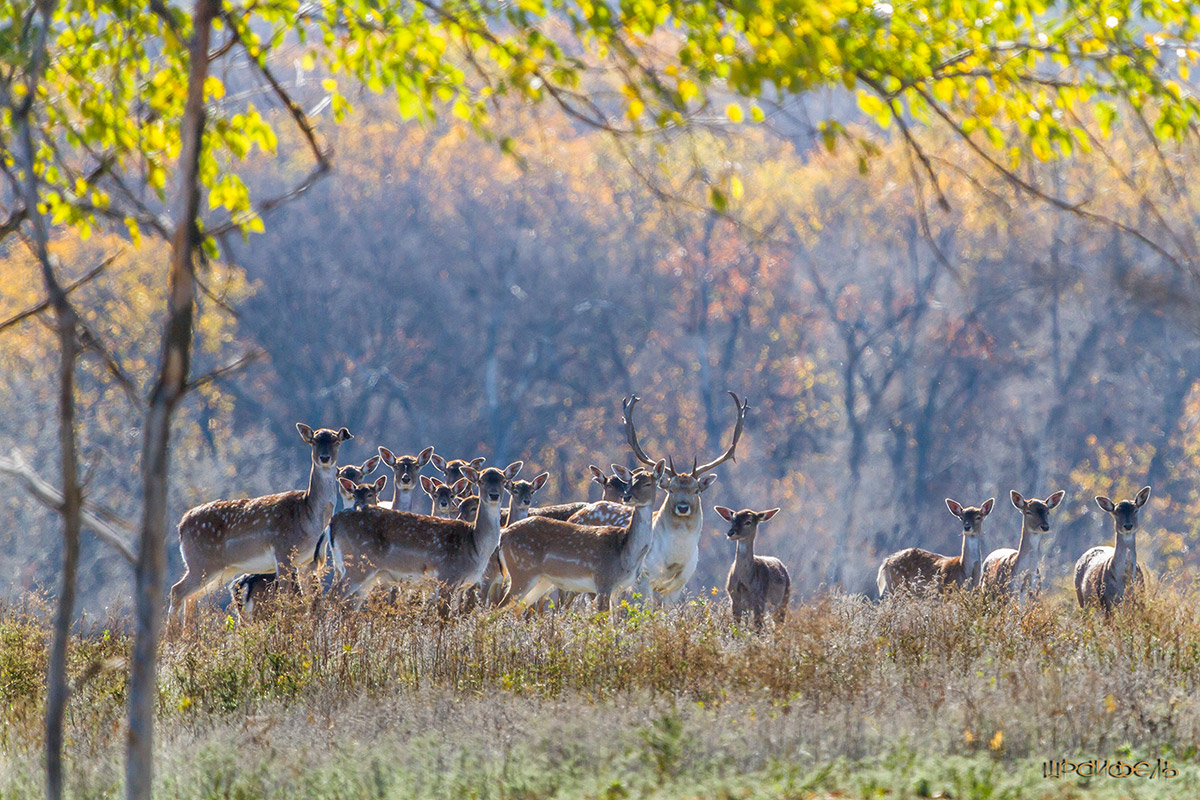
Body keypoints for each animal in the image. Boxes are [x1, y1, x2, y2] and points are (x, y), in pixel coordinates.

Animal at [171, 422, 352, 623]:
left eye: (335, 440)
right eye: (314, 440)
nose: (325, 457)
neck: (308, 516)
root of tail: (182, 525)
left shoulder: (307, 561)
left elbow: (309, 599)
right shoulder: (282, 552)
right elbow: (287, 597)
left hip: (220, 570)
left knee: (192, 597)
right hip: (201, 563)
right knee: (177, 590)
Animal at [328, 462, 520, 606]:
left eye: (503, 480)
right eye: (481, 481)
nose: (494, 495)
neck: (475, 545)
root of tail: (334, 521)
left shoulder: (462, 587)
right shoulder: (447, 577)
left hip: (361, 574)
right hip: (357, 564)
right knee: (333, 596)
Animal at [496, 462, 667, 614]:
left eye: (648, 483)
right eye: (631, 482)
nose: (627, 497)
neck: (626, 554)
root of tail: (503, 534)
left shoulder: (619, 589)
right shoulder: (603, 581)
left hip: (540, 581)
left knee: (518, 608)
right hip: (521, 571)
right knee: (498, 608)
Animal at [624, 391, 744, 604]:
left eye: (696, 490)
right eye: (670, 489)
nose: (682, 507)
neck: (672, 562)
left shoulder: (678, 585)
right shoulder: (644, 578)